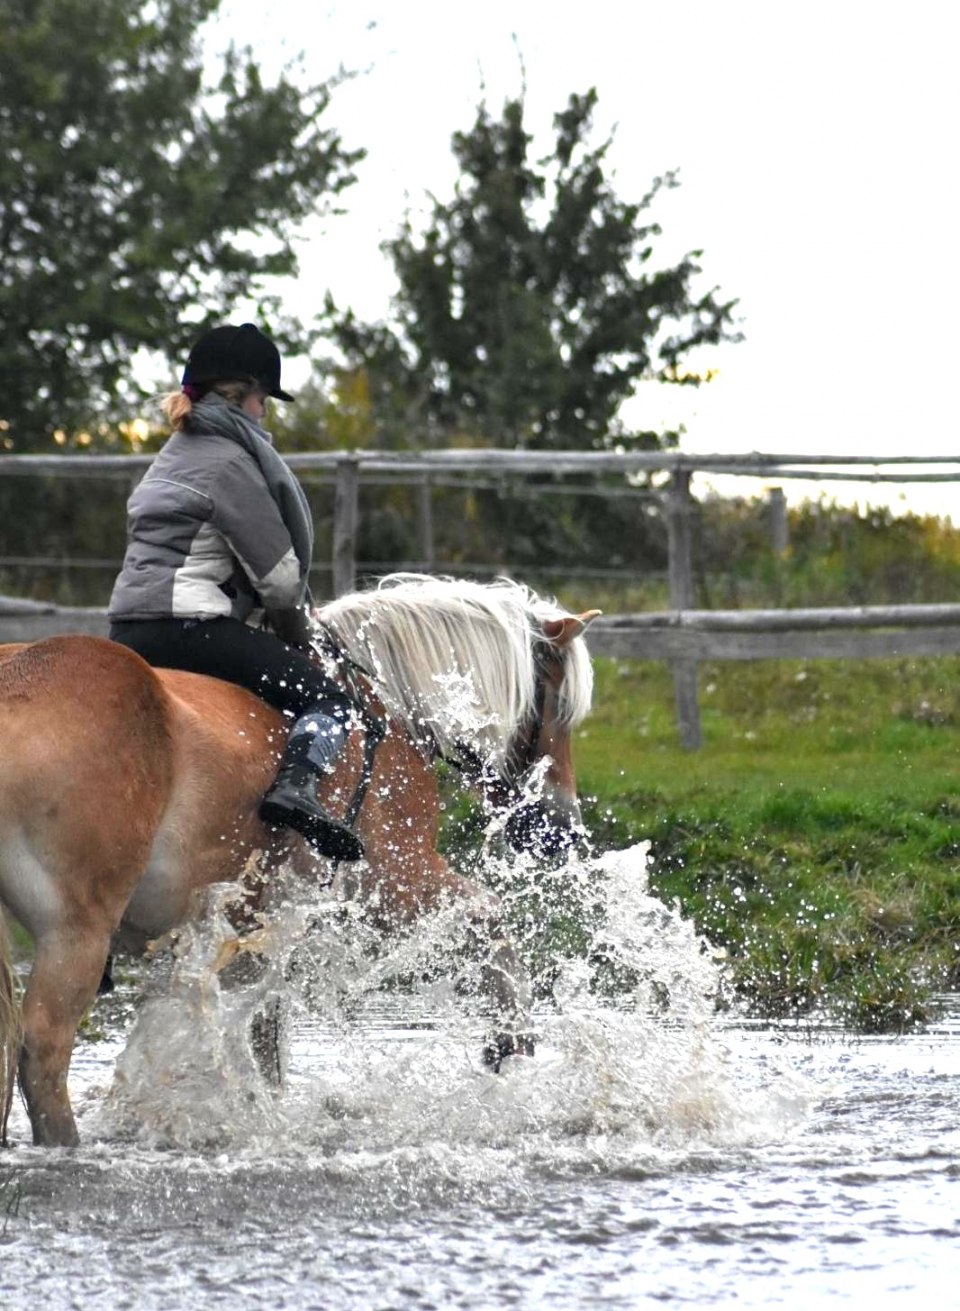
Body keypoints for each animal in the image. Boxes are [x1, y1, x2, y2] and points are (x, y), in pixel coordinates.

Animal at [1, 574, 600, 1148]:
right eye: (557, 708)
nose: (562, 829)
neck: (384, 707)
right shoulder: (399, 882)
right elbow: (489, 916)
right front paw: (510, 1038)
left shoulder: (262, 931)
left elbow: (265, 1040)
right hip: (76, 931)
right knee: (44, 1049)